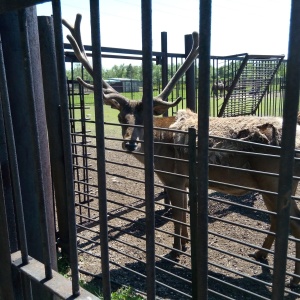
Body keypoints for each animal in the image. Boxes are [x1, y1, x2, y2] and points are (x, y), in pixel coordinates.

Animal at [63, 14, 300, 288]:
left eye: (147, 118)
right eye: (122, 117)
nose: (130, 143)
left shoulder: (173, 177)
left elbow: (177, 214)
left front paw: (176, 250)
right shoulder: (184, 181)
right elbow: (184, 213)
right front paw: (185, 244)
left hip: (273, 182)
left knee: (293, 224)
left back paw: (292, 279)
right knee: (278, 220)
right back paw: (260, 254)